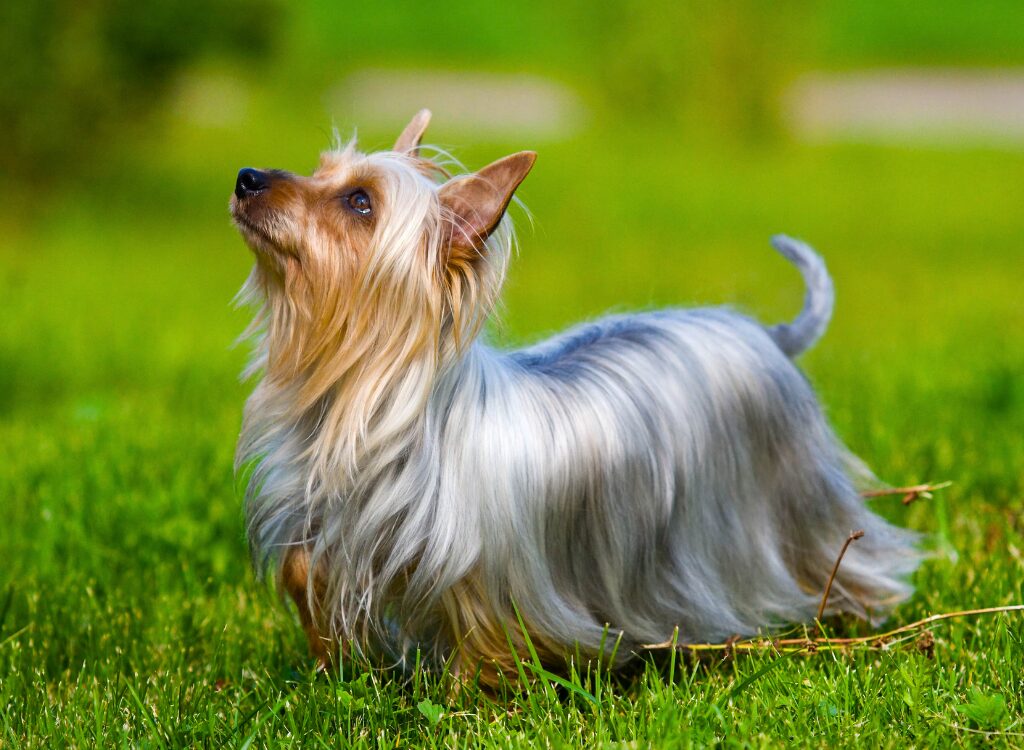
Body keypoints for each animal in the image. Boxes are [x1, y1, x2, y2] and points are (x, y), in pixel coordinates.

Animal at [230, 108, 921, 688]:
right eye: (320, 169)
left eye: (360, 203)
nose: (246, 177)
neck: (366, 401)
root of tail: (768, 335)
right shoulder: (324, 528)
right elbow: (308, 578)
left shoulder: (484, 579)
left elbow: (483, 638)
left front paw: (468, 700)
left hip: (793, 504)